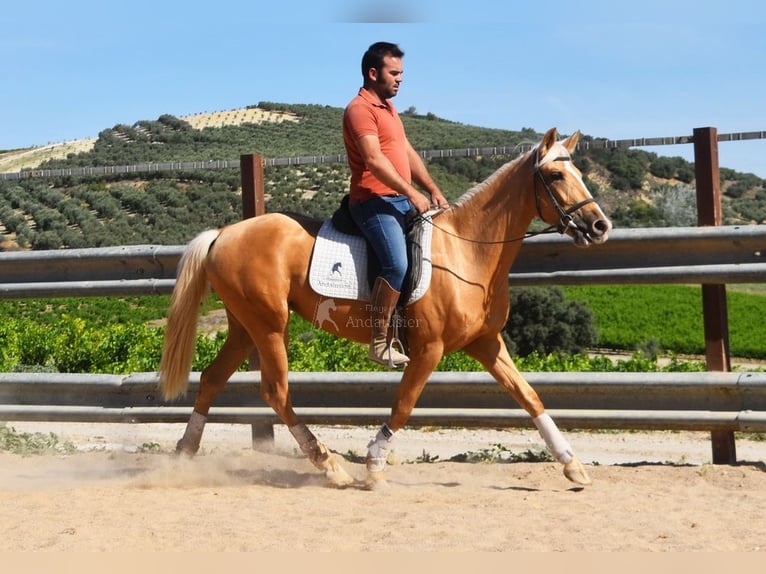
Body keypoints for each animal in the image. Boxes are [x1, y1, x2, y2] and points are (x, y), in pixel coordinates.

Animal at [160, 129, 612, 490]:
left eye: (579, 174)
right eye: (556, 176)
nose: (600, 226)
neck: (467, 251)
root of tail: (223, 233)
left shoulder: (486, 343)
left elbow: (529, 396)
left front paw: (572, 465)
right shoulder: (429, 349)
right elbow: (404, 404)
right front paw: (374, 465)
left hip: (244, 327)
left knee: (212, 379)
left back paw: (184, 454)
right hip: (270, 326)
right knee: (275, 392)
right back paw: (329, 465)